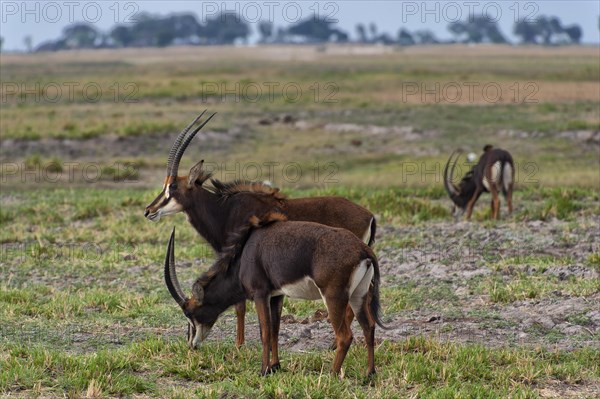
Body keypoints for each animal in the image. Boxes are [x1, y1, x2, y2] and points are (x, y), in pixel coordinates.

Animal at [145, 111, 376, 348]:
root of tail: (369, 215)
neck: (224, 210)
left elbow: (240, 306)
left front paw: (239, 345)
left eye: (172, 187)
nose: (149, 210)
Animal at [163, 212, 384, 376]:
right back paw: (369, 373)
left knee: (345, 336)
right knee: (369, 326)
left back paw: (331, 374)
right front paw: (276, 366)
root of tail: (363, 249)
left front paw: (263, 370)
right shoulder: (277, 296)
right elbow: (276, 329)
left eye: (190, 313)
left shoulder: (260, 294)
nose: (192, 345)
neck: (245, 253)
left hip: (334, 297)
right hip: (358, 296)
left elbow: (265, 331)